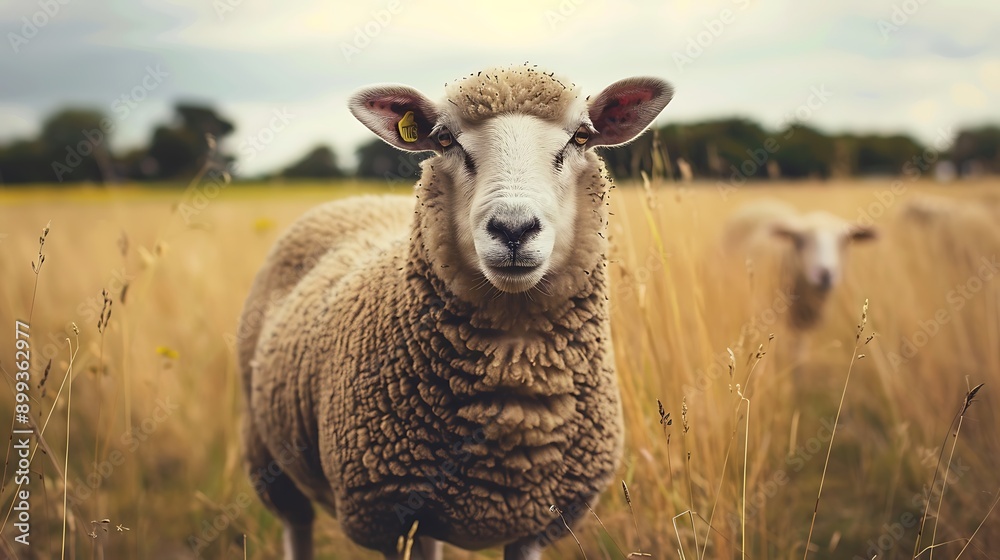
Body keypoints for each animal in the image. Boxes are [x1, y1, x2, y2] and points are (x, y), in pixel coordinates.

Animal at [238, 65, 674, 560]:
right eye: (444, 139)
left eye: (582, 136)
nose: (513, 229)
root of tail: (354, 200)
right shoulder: (387, 517)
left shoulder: (535, 523)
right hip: (266, 453)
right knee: (297, 523)